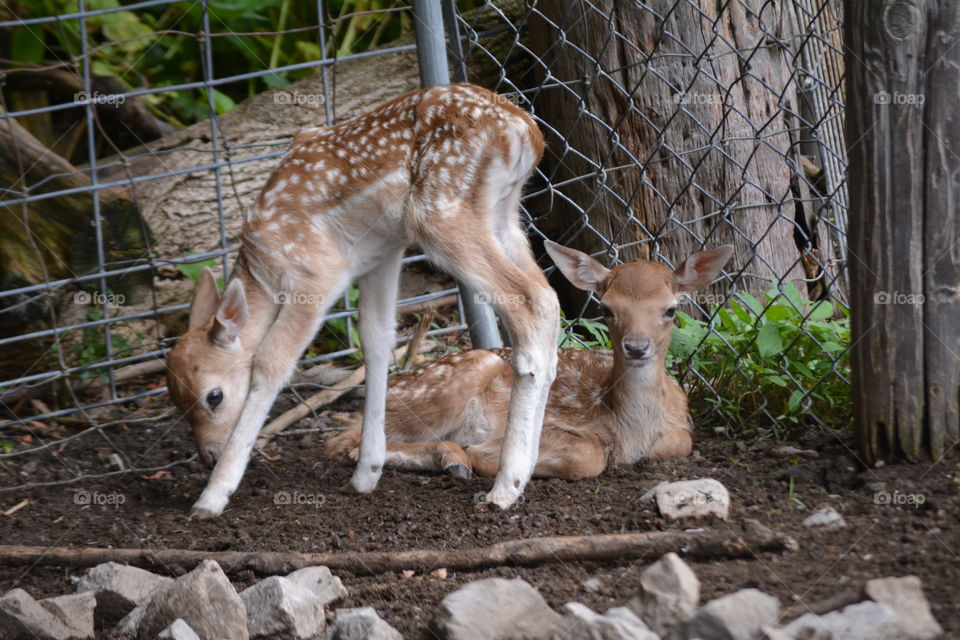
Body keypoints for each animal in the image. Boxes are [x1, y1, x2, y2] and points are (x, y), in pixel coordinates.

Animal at [166, 84, 561, 518]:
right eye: (175, 403)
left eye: (214, 396)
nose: (208, 455)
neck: (261, 273)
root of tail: (524, 132)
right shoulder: (382, 256)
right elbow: (375, 340)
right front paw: (365, 474)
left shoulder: (315, 273)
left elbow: (271, 362)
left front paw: (211, 497)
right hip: (503, 215)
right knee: (548, 296)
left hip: (440, 213)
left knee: (529, 302)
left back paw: (506, 486)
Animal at [325, 242, 734, 480]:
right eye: (606, 308)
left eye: (670, 310)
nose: (636, 346)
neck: (628, 428)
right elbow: (589, 456)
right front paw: (487, 459)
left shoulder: (681, 425)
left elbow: (680, 441)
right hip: (446, 387)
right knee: (343, 442)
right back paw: (454, 457)